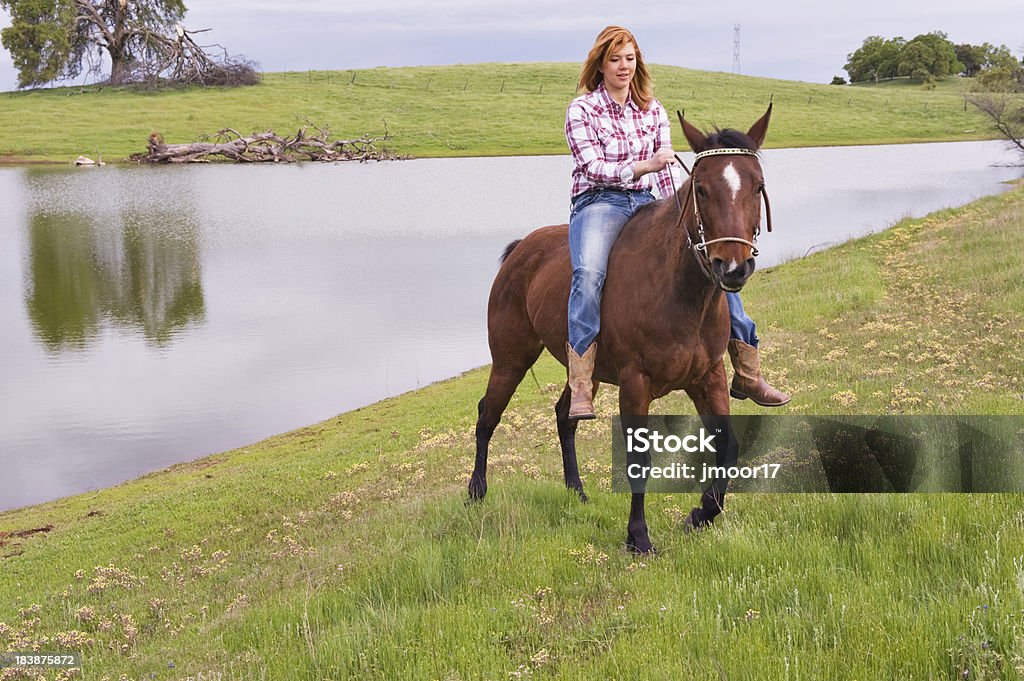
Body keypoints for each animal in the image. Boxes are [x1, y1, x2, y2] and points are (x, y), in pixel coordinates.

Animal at [468, 106, 770, 552]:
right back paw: (476, 491)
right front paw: (638, 536)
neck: (676, 291)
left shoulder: (709, 377)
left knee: (565, 416)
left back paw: (576, 491)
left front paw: (700, 514)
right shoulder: (635, 383)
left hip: (584, 373)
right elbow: (638, 460)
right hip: (510, 359)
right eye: (701, 189)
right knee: (488, 414)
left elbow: (727, 446)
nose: (732, 267)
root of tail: (520, 249)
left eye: (757, 185)